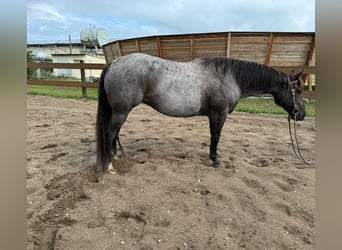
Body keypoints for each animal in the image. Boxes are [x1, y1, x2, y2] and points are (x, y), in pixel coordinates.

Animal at [95, 53, 306, 172]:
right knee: (110, 132)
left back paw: (115, 157)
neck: (230, 78)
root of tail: (114, 63)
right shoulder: (218, 114)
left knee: (114, 133)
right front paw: (215, 160)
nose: (301, 114)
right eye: (298, 90)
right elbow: (215, 136)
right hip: (121, 111)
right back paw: (109, 165)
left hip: (120, 111)